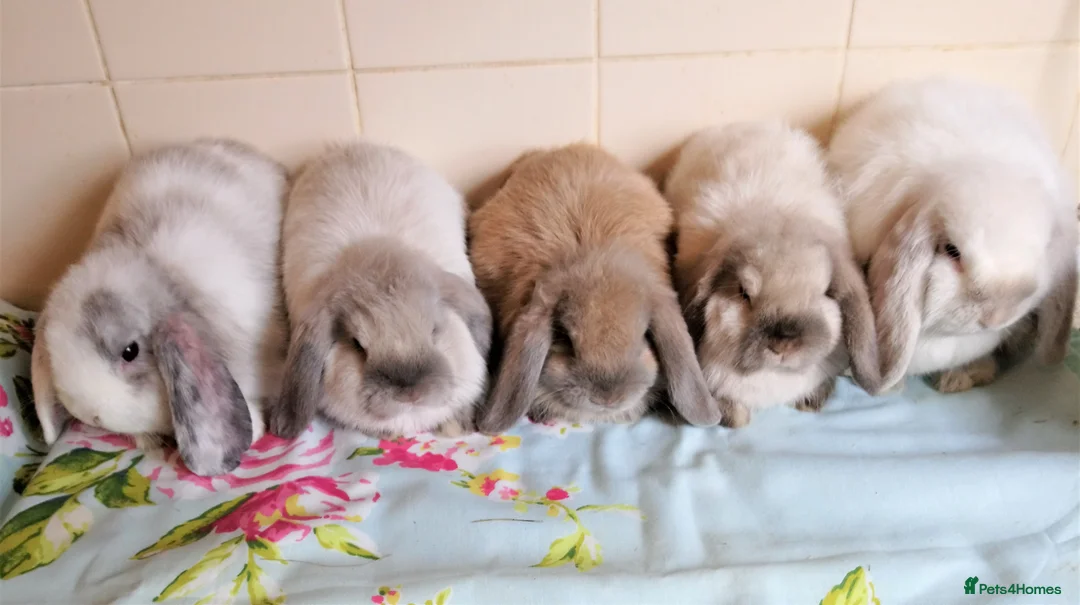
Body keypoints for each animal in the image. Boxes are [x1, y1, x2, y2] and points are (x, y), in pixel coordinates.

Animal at [665, 122, 880, 427]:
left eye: (825, 292)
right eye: (744, 292)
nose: (783, 344)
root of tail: (744, 127)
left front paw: (810, 403)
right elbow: (736, 417)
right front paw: (735, 417)